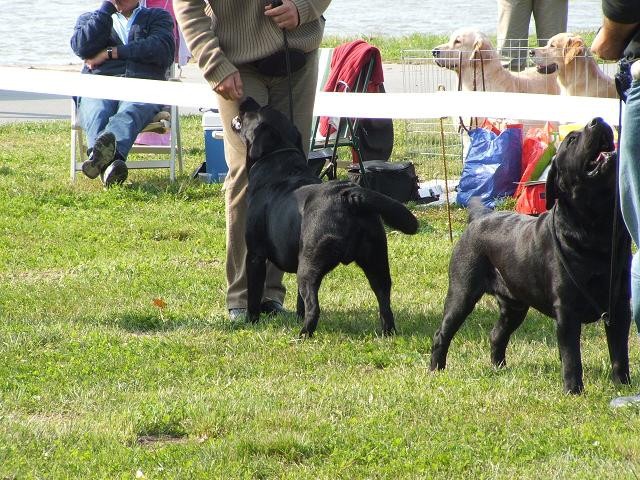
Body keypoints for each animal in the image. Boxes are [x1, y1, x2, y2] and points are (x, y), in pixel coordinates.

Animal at [231, 97, 420, 338]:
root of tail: (348, 195)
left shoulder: (255, 255)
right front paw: (296, 315)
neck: (277, 160)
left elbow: (254, 295)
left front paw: (251, 321)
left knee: (314, 305)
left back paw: (303, 334)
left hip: (309, 265)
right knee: (384, 299)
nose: (246, 99)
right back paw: (387, 332)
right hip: (376, 258)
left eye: (258, 110)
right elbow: (299, 302)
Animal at [428, 117, 632, 394]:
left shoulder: (619, 305)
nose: (597, 120)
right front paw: (573, 390)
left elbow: (620, 353)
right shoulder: (567, 310)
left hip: (514, 305)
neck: (596, 227)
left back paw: (499, 368)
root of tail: (479, 217)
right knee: (443, 333)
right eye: (572, 140)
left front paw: (624, 386)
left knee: (497, 334)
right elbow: (572, 357)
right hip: (462, 292)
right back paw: (436, 369)